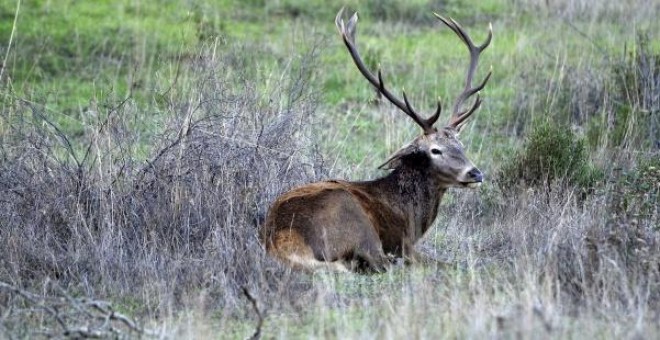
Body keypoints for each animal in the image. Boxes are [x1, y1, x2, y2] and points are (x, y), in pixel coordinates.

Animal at [260, 7, 492, 274]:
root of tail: (281, 241)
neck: (409, 217)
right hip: (355, 222)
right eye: (435, 150)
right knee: (378, 263)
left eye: (460, 145)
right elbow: (447, 263)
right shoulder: (402, 243)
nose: (475, 173)